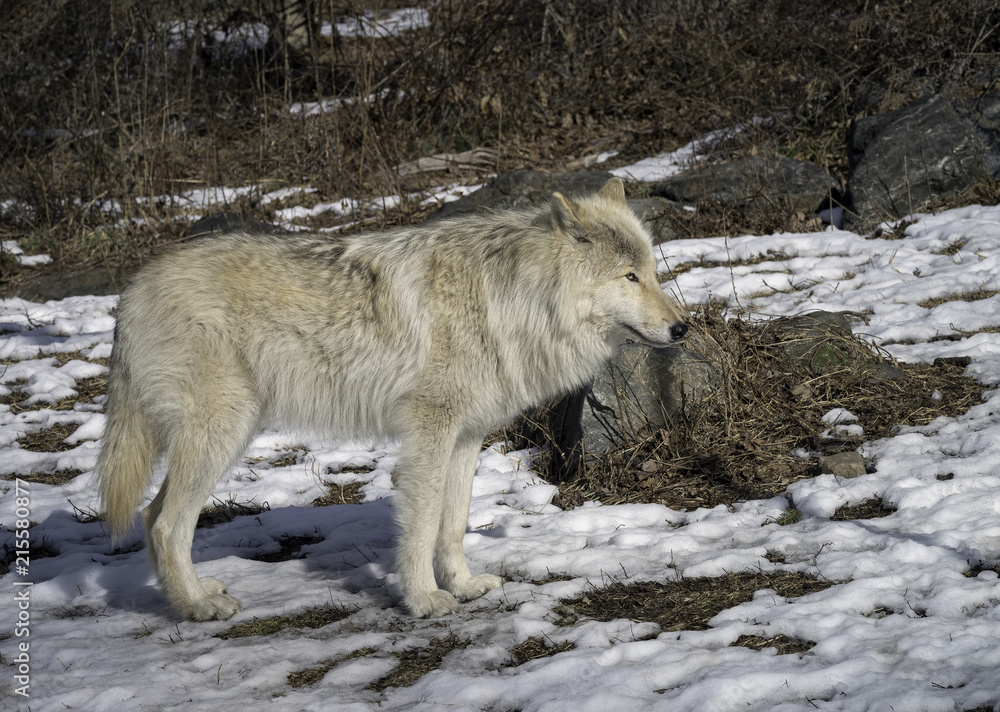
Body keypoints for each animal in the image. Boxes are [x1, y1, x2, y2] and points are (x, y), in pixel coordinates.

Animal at [97, 177, 688, 621]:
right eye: (629, 277)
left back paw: (195, 595)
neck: (509, 299)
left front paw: (463, 585)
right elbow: (423, 523)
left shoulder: (467, 436)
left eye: (653, 273)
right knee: (166, 524)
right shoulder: (430, 430)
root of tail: (131, 290)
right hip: (223, 432)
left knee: (150, 516)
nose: (682, 328)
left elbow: (453, 524)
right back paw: (198, 607)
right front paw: (424, 599)